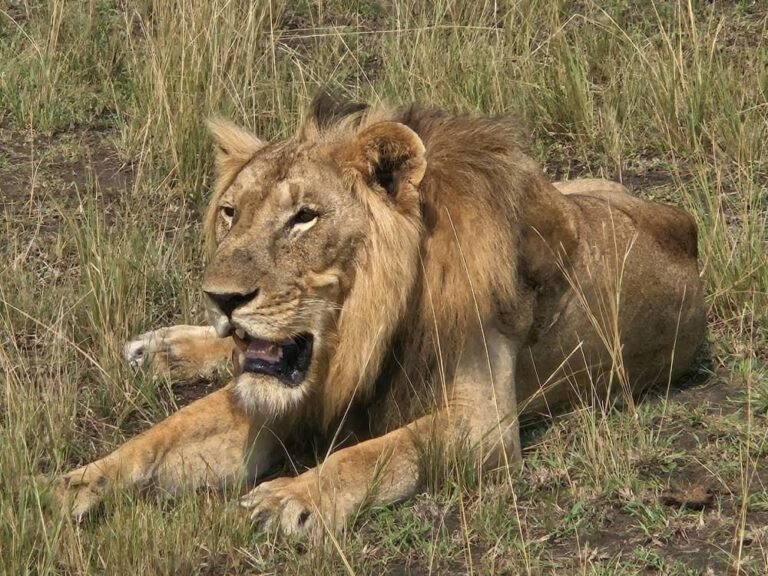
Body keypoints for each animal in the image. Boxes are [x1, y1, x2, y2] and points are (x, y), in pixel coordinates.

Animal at [54, 96, 706, 536]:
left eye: (304, 217)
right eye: (230, 213)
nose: (221, 298)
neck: (358, 330)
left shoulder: (486, 422)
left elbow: (379, 450)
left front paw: (292, 497)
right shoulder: (271, 394)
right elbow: (165, 434)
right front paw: (73, 486)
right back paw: (161, 349)